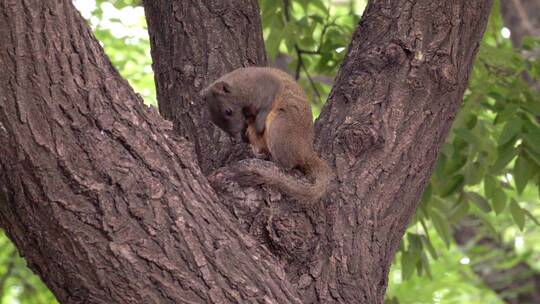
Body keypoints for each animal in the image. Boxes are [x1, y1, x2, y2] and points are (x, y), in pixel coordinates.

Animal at [200, 66, 332, 202]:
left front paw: (258, 124)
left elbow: (265, 107)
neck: (239, 85)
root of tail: (306, 151)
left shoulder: (268, 86)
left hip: (280, 126)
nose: (236, 135)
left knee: (288, 164)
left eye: (228, 111)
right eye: (214, 120)